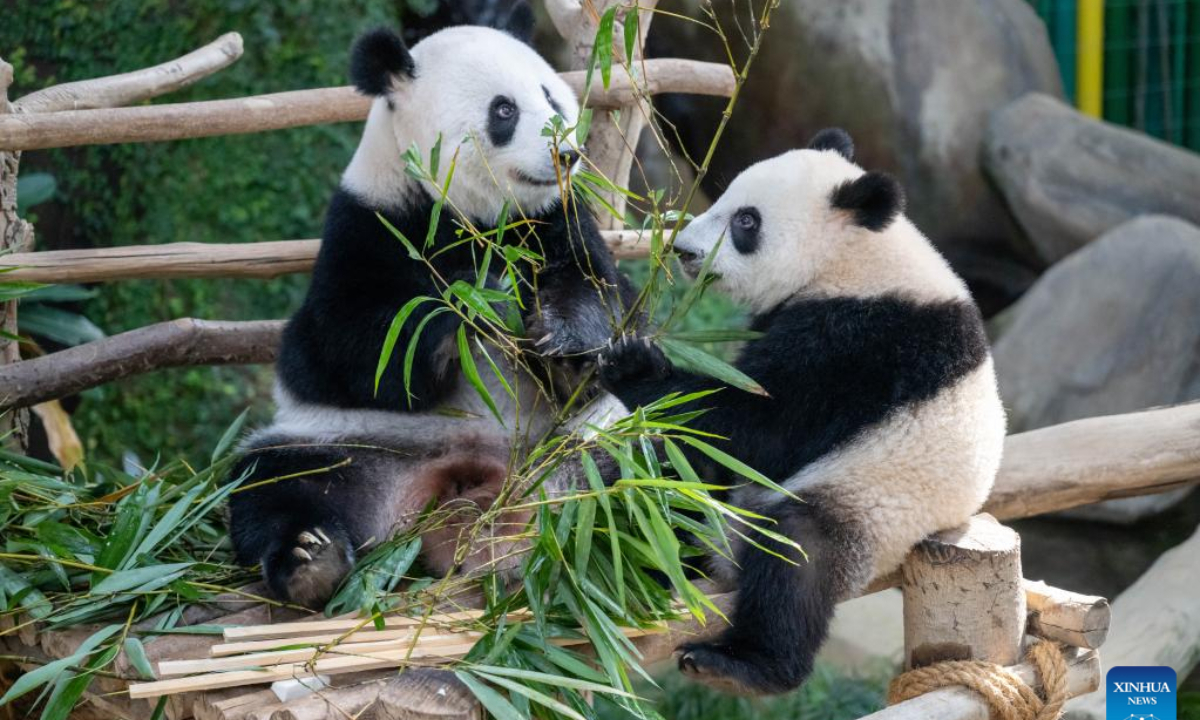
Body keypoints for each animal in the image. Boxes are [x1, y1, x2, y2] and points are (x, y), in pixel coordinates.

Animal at [227, 24, 633, 609]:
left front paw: (565, 346)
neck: (478, 221)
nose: (566, 154)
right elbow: (346, 348)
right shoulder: (369, 224)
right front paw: (476, 302)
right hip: (350, 448)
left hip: (589, 440)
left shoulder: (558, 218)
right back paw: (310, 562)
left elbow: (601, 297)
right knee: (276, 484)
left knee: (662, 459)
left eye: (552, 98)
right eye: (504, 109)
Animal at [596, 128, 1006, 695]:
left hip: (869, 505)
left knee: (796, 555)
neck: (853, 255)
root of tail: (723, 558)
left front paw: (634, 364)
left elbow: (754, 425)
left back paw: (744, 666)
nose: (683, 249)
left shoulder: (860, 342)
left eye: (746, 221)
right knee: (663, 491)